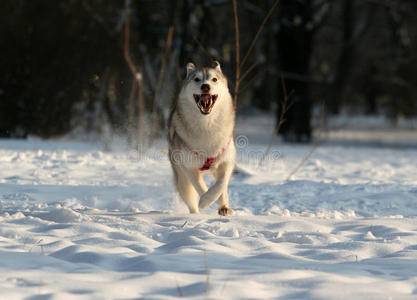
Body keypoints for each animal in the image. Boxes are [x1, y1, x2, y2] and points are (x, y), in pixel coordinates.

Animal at [167, 61, 236, 216]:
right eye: (197, 79)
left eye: (214, 79)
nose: (205, 86)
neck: (207, 124)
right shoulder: (188, 166)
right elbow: (200, 186)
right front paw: (205, 201)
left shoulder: (227, 159)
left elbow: (221, 184)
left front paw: (214, 200)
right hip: (181, 179)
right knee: (191, 200)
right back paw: (196, 214)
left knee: (222, 187)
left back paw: (224, 207)